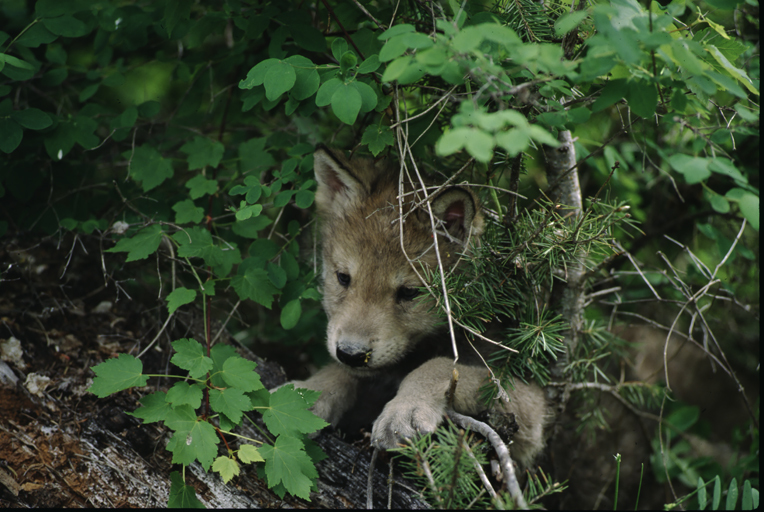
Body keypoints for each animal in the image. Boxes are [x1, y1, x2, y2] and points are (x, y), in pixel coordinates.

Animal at [284, 147, 548, 468]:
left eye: (409, 292)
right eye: (343, 278)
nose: (352, 354)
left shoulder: (528, 405)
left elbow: (441, 365)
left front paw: (404, 411)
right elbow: (342, 372)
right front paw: (308, 392)